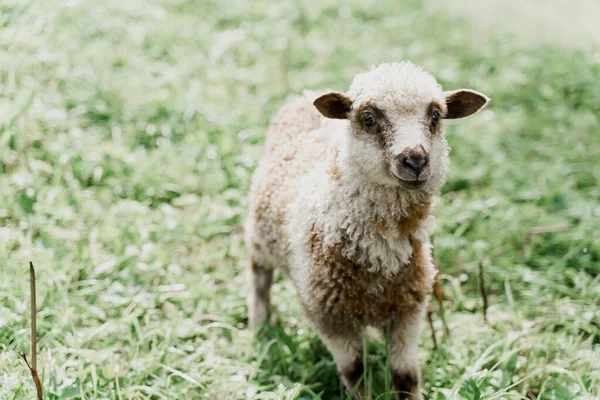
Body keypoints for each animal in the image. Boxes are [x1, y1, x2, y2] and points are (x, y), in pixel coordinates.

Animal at [246, 61, 490, 398]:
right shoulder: (327, 315)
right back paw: (260, 326)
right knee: (259, 279)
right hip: (259, 236)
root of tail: (303, 96)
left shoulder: (409, 309)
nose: (415, 160)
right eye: (369, 118)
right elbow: (356, 371)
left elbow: (405, 374)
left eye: (435, 116)